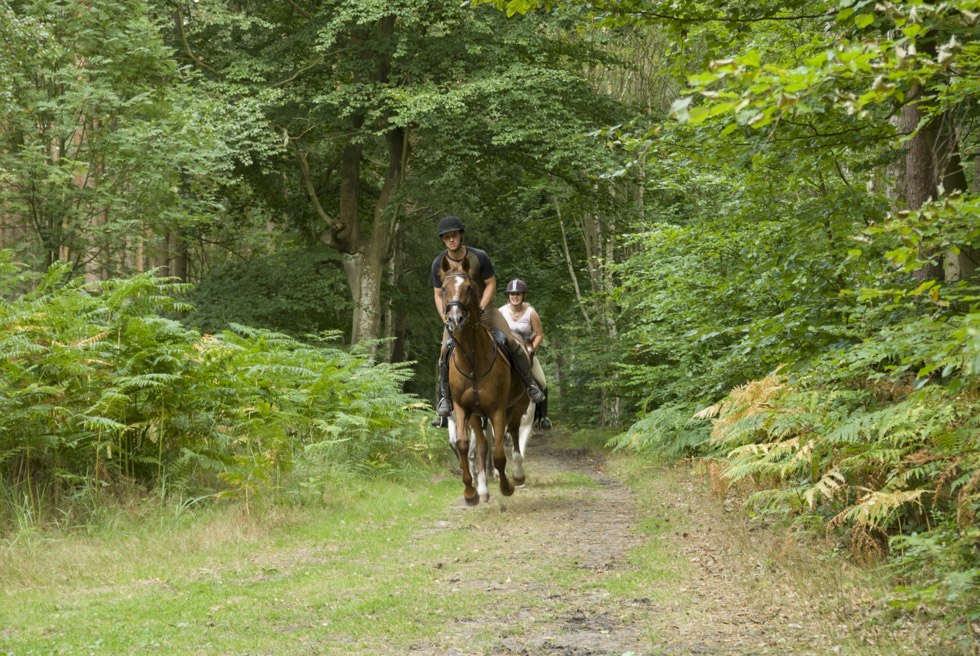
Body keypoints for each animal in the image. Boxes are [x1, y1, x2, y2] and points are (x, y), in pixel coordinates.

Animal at [442, 255, 532, 502]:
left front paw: (506, 487)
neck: (473, 361)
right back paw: (482, 488)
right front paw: (470, 491)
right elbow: (464, 445)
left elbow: (500, 453)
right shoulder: (463, 408)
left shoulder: (497, 409)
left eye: (469, 287)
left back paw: (517, 475)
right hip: (476, 414)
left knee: (513, 433)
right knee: (482, 444)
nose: (455, 319)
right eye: (443, 288)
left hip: (518, 404)